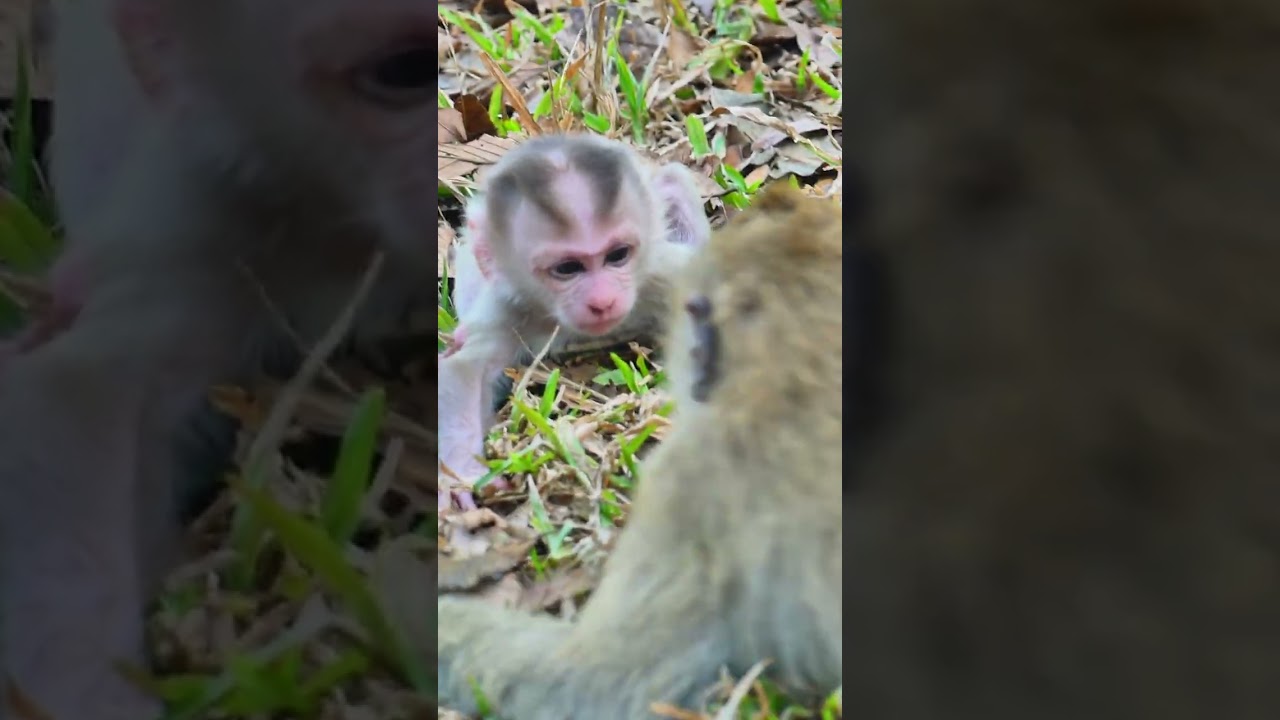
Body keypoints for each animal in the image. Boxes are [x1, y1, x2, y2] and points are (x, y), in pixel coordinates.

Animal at [438, 134, 711, 509]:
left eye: (618, 255)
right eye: (568, 268)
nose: (602, 301)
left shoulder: (662, 273)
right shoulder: (508, 309)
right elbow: (462, 369)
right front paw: (460, 474)